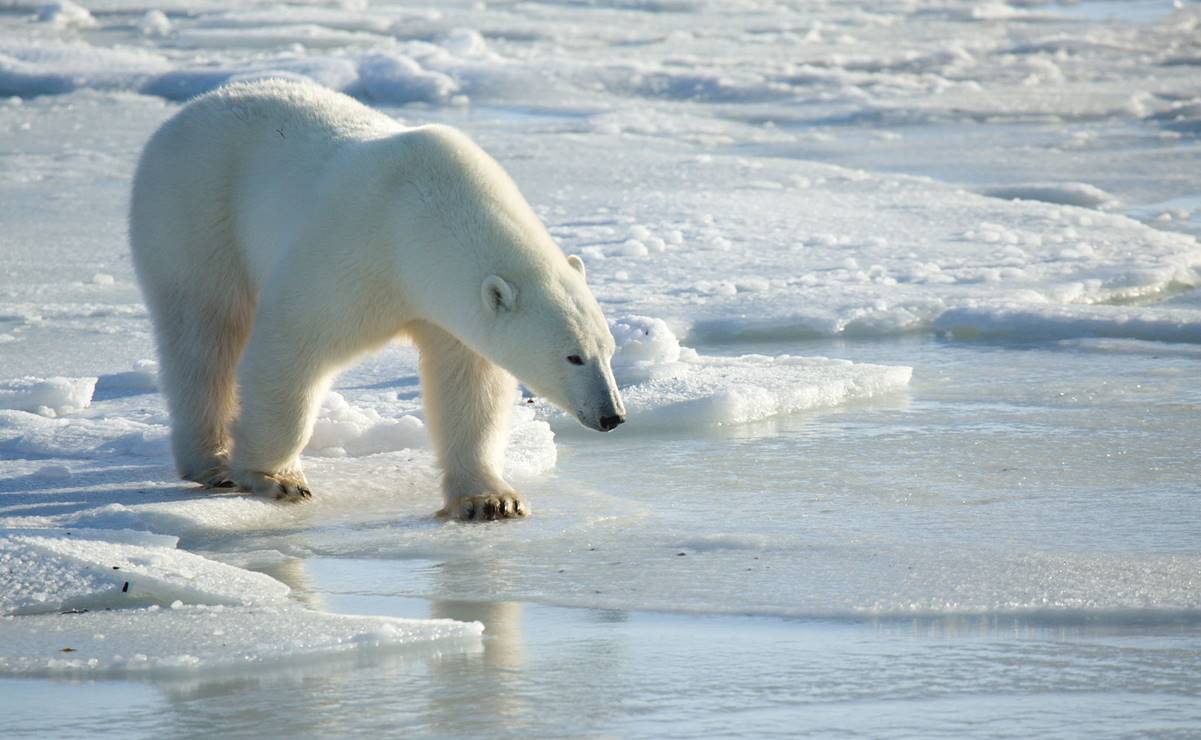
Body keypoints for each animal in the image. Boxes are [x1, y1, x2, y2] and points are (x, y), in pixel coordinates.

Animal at [130, 79, 624, 521]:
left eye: (609, 350)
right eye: (573, 356)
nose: (612, 415)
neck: (419, 221)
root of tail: (189, 110)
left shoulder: (447, 309)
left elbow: (469, 386)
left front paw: (490, 499)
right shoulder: (355, 253)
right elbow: (293, 344)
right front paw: (276, 477)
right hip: (195, 213)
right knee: (205, 332)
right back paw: (213, 462)